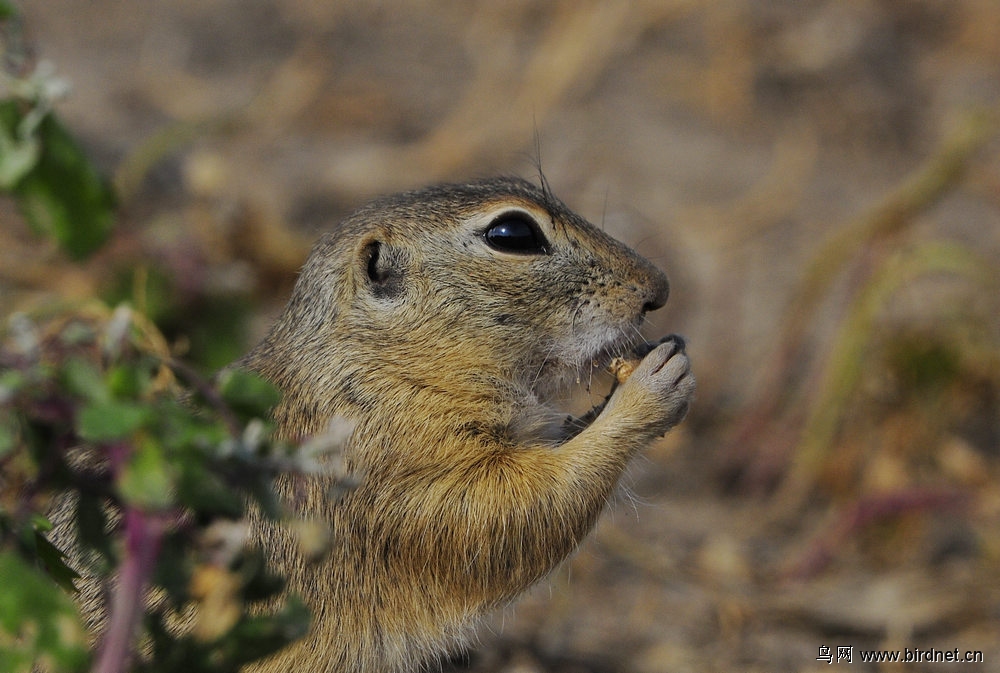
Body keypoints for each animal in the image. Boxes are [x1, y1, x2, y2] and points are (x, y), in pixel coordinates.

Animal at [242, 177, 696, 672]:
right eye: (513, 234)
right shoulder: (396, 465)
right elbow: (511, 512)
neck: (382, 359)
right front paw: (651, 387)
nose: (659, 288)